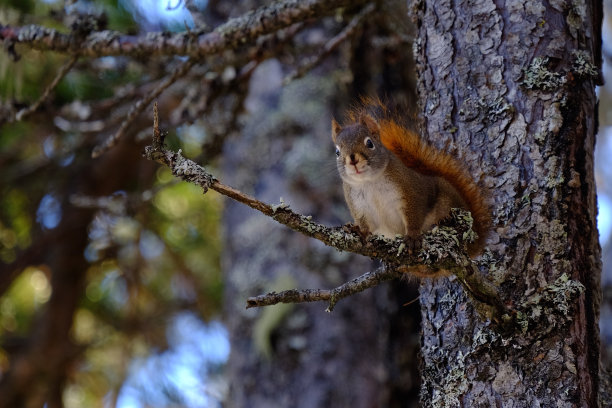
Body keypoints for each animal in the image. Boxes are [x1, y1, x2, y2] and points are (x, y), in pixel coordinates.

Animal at [332, 100, 490, 276]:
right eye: (337, 152)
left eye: (369, 143)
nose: (352, 159)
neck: (369, 182)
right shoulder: (359, 206)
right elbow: (368, 226)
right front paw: (359, 231)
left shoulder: (411, 191)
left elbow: (414, 215)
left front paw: (413, 237)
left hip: (448, 202)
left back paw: (443, 221)